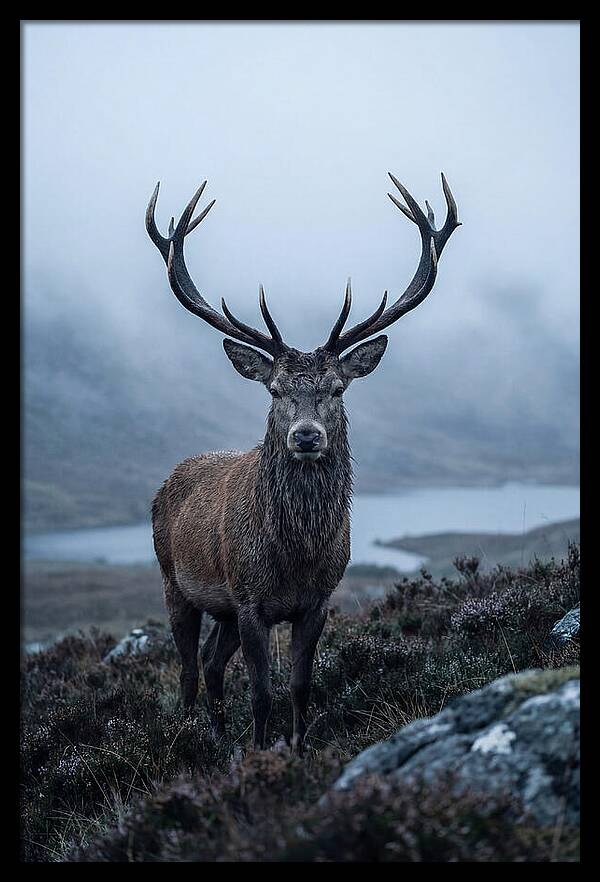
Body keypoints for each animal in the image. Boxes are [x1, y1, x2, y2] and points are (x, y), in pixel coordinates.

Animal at [146, 172, 460, 753]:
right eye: (274, 390)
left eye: (337, 387)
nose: (307, 435)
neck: (295, 556)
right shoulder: (250, 600)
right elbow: (261, 692)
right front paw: (259, 751)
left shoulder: (316, 601)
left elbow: (299, 685)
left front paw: (295, 747)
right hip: (174, 581)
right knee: (188, 669)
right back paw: (191, 737)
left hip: (221, 607)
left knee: (211, 663)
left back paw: (218, 735)